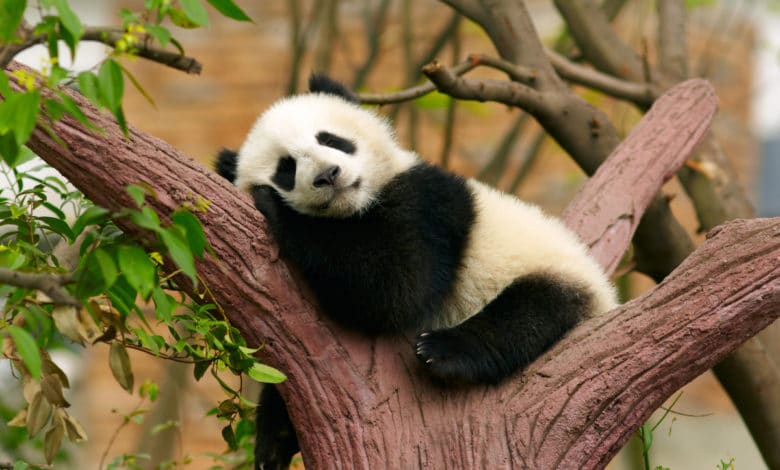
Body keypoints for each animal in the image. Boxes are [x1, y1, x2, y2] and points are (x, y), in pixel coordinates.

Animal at [215, 75, 617, 469]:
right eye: (286, 168)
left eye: (330, 139)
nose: (328, 175)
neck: (355, 207)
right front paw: (273, 440)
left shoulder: (427, 205)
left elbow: (396, 287)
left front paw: (275, 207)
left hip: (552, 271)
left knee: (527, 313)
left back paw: (443, 351)